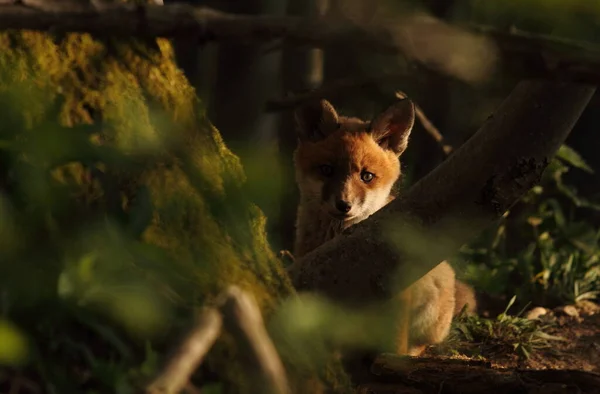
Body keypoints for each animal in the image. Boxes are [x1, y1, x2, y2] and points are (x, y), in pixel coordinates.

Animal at [292, 97, 476, 356]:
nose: (344, 205)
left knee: (421, 343)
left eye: (367, 176)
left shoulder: (396, 292)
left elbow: (395, 343)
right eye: (327, 170)